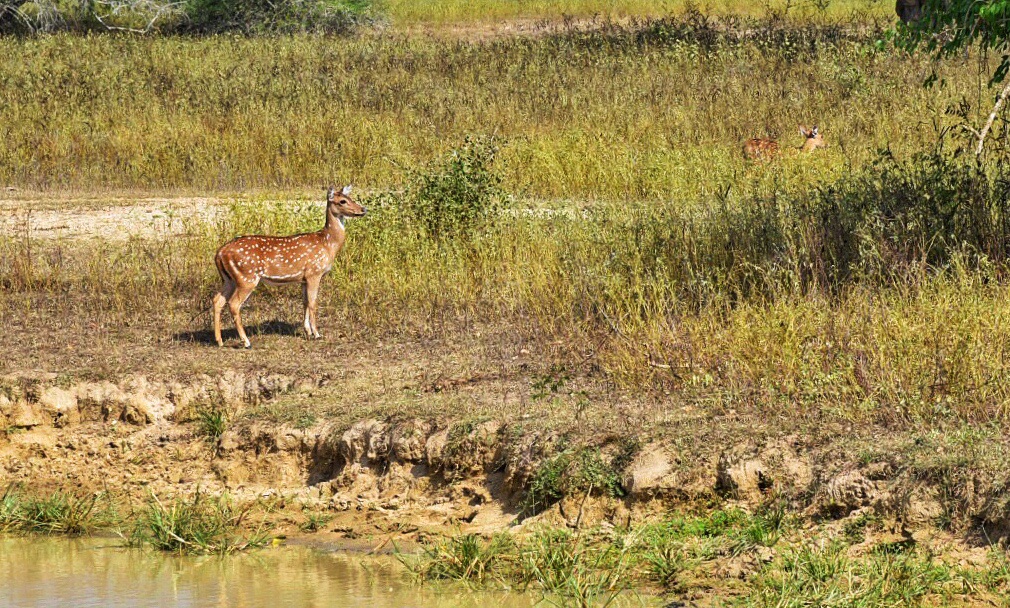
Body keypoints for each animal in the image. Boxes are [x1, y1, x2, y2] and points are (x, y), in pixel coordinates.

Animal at [210, 183, 367, 345]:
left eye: (350, 197)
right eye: (342, 201)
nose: (363, 209)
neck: (327, 243)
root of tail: (220, 253)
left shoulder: (303, 278)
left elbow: (304, 302)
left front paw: (307, 331)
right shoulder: (314, 273)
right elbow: (313, 303)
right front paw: (317, 334)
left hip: (229, 279)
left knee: (217, 300)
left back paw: (219, 341)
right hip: (246, 277)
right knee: (234, 304)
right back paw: (246, 342)